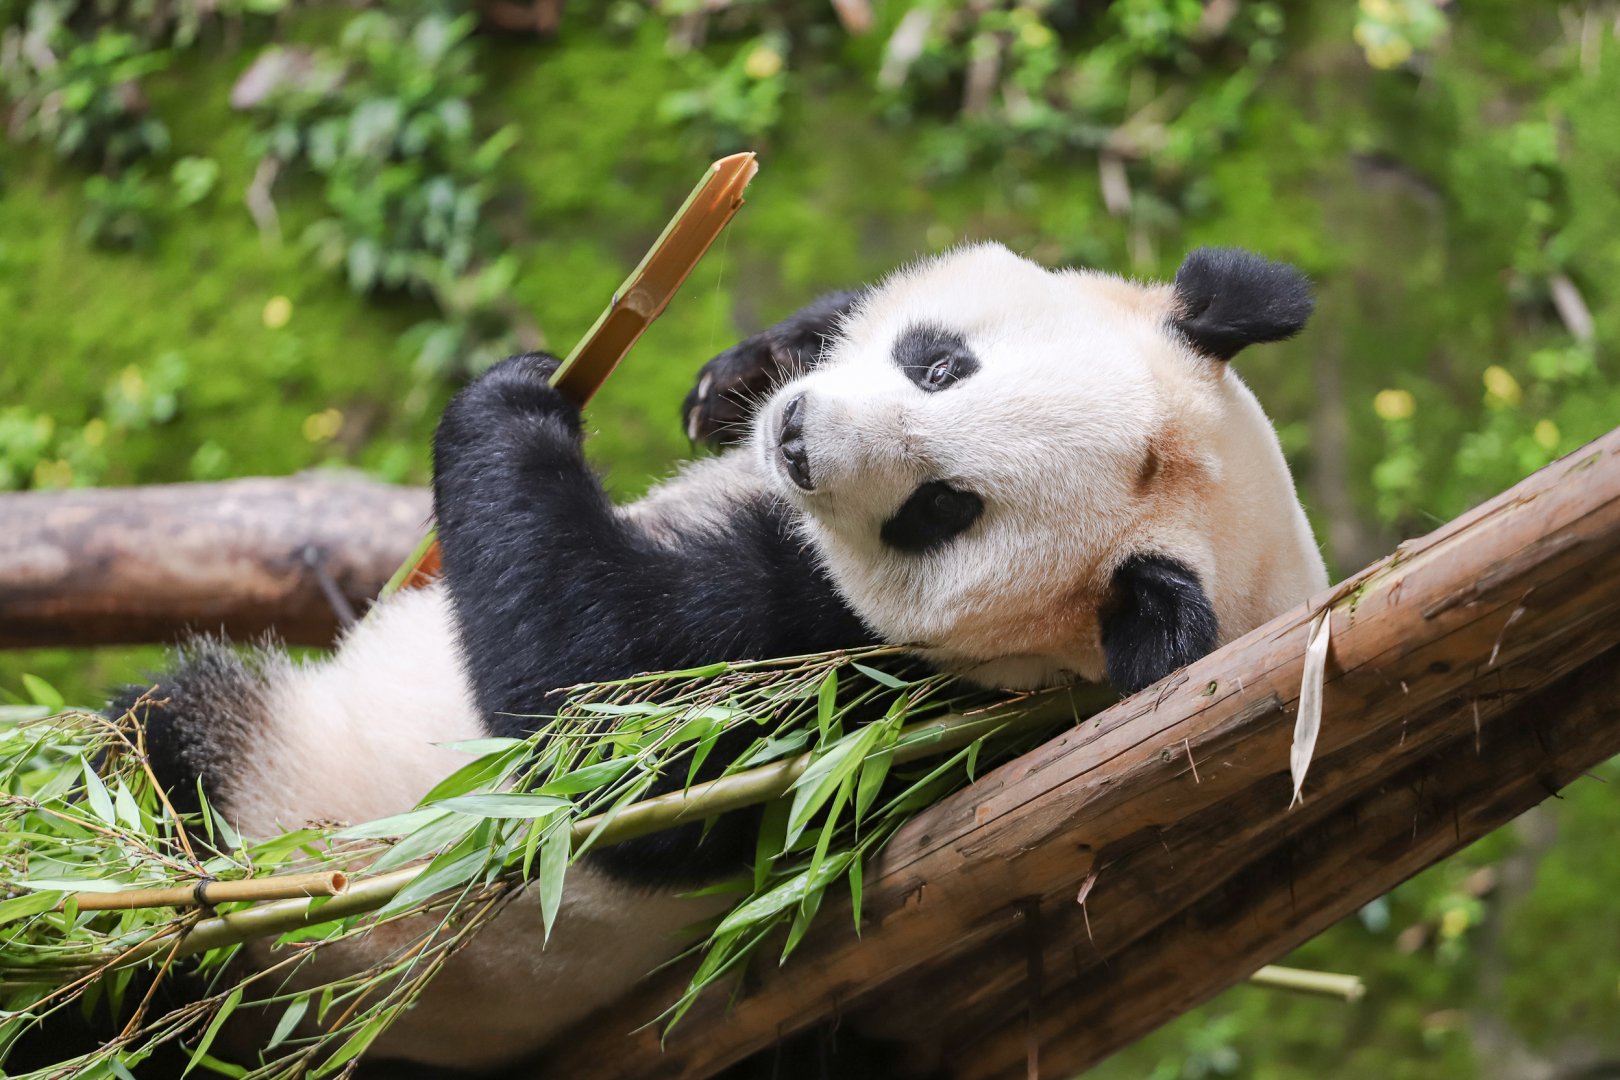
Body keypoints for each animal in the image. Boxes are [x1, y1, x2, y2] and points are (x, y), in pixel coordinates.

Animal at [89, 242, 1325, 1076]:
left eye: (944, 509)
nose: (798, 436)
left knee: (151, 779)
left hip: (282, 836)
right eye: (940, 365)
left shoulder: (848, 691)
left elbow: (603, 723)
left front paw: (512, 403)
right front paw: (746, 367)